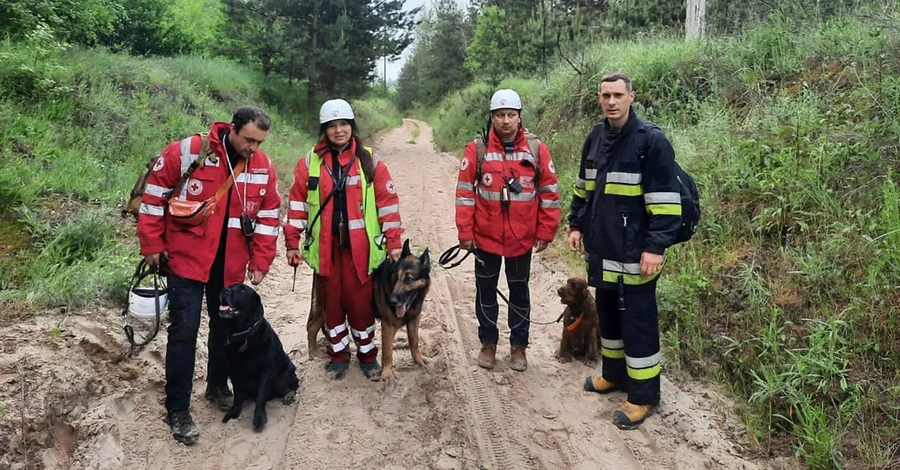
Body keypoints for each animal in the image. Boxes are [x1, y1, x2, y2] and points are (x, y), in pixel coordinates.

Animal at [219, 284, 300, 432]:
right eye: (230, 286)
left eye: (243, 290)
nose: (224, 290)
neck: (242, 335)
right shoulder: (234, 371)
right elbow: (237, 396)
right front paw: (234, 412)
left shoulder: (266, 372)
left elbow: (261, 397)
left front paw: (259, 419)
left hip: (284, 374)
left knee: (294, 383)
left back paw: (289, 395)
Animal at [306, 239, 432, 382]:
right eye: (395, 277)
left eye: (409, 279)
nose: (392, 300)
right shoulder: (388, 326)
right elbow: (387, 352)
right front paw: (387, 374)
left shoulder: (414, 320)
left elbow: (414, 341)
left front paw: (418, 358)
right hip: (327, 308)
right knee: (311, 327)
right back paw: (314, 353)